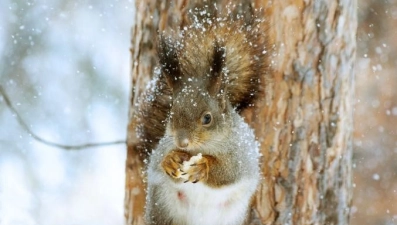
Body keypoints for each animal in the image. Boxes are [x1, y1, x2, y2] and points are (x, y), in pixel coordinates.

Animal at [142, 9, 270, 225]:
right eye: (171, 115)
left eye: (207, 118)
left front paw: (203, 167)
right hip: (163, 206)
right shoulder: (162, 146)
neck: (201, 148)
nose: (182, 142)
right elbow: (159, 161)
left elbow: (228, 172)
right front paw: (170, 160)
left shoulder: (241, 154)